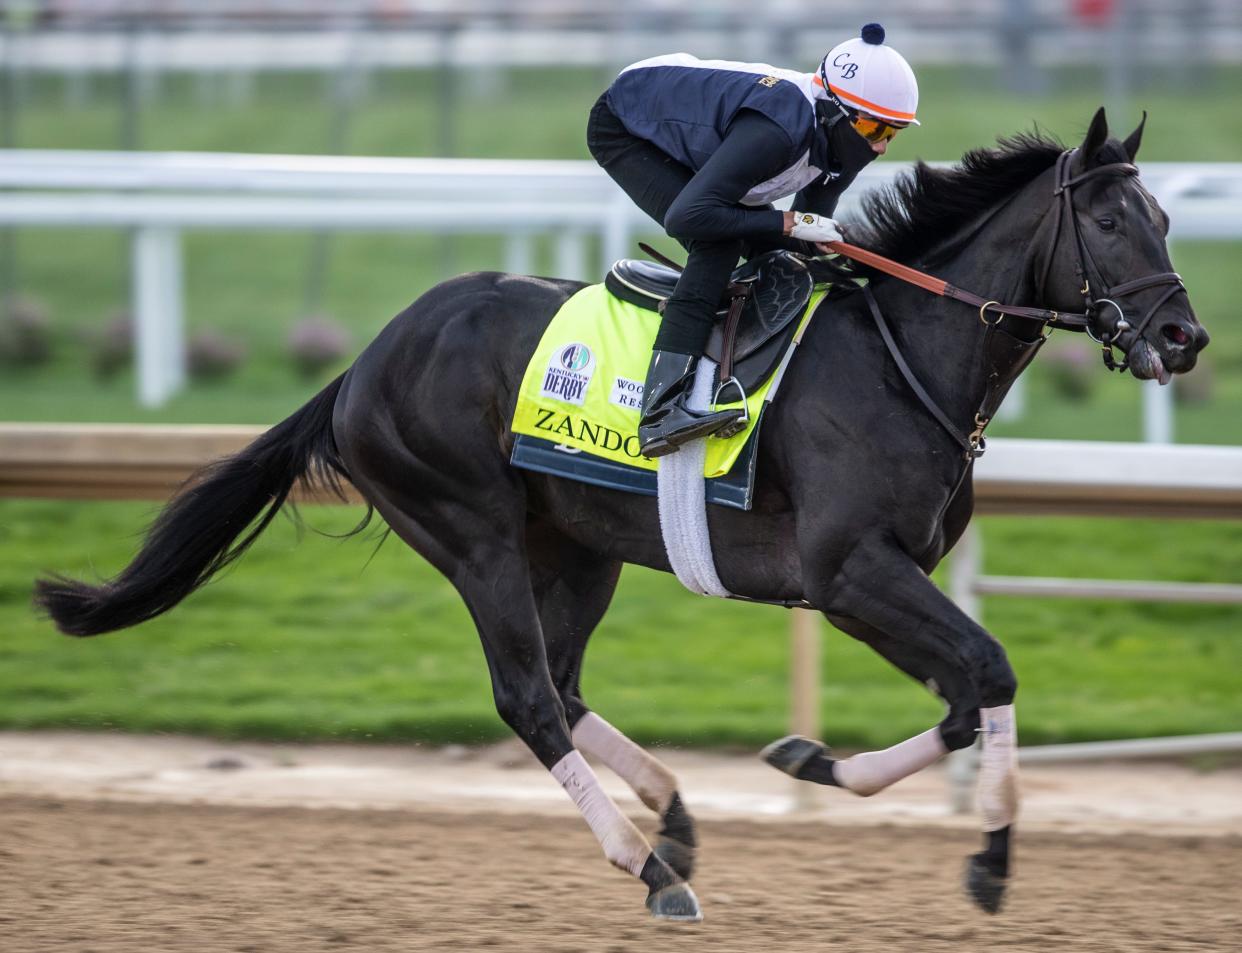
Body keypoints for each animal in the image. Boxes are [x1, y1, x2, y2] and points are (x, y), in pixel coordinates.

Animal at [36, 109, 1202, 924]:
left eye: (1165, 218)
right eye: (1109, 221)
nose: (1183, 337)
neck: (900, 356)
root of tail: (364, 364)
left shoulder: (871, 581)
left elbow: (966, 697)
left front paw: (813, 762)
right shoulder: (849, 571)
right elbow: (992, 668)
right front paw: (992, 857)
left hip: (577, 547)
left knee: (562, 681)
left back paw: (674, 819)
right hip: (474, 534)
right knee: (528, 699)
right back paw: (648, 866)